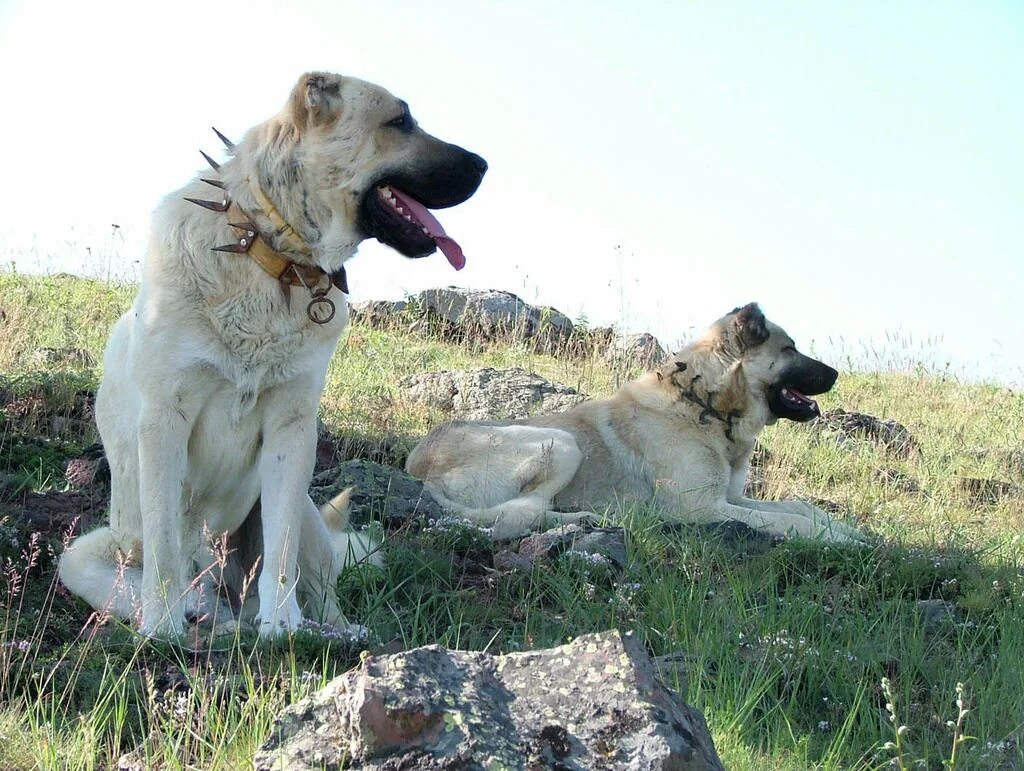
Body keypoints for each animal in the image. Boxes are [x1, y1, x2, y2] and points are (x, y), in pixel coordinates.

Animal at [57, 70, 487, 638]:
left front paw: (282, 625)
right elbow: (166, 547)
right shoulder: (164, 422)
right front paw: (164, 627)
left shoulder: (292, 429)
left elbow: (280, 550)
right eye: (399, 121)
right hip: (92, 552)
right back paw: (196, 614)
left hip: (303, 510)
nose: (484, 165)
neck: (272, 260)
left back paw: (326, 628)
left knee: (319, 587)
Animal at [405, 303, 864, 540]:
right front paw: (838, 539)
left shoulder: (732, 497)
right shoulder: (703, 508)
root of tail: (418, 471)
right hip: (560, 441)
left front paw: (847, 529)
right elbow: (790, 521)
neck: (703, 403)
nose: (837, 374)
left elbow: (801, 507)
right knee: (518, 515)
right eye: (790, 349)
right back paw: (584, 521)